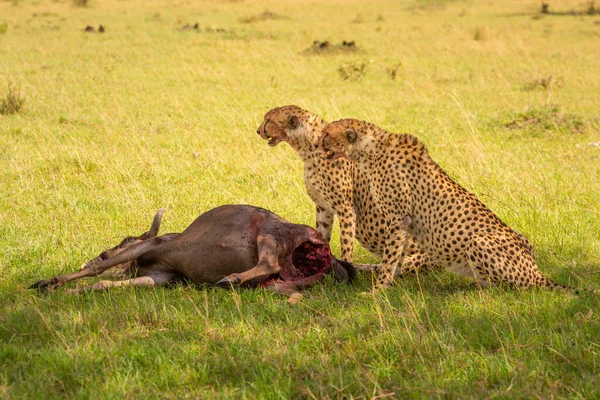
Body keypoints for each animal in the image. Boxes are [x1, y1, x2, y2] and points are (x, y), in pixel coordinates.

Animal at [255, 104, 434, 274]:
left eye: (269, 120)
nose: (258, 131)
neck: (308, 148)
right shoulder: (323, 207)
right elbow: (321, 235)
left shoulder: (345, 209)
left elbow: (346, 243)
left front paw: (346, 268)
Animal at [318, 117, 596, 292]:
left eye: (327, 134)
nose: (319, 144)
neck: (369, 151)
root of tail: (536, 269)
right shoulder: (404, 222)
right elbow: (397, 256)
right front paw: (391, 280)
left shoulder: (397, 219)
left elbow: (390, 257)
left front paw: (378, 290)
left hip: (479, 242)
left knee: (510, 288)